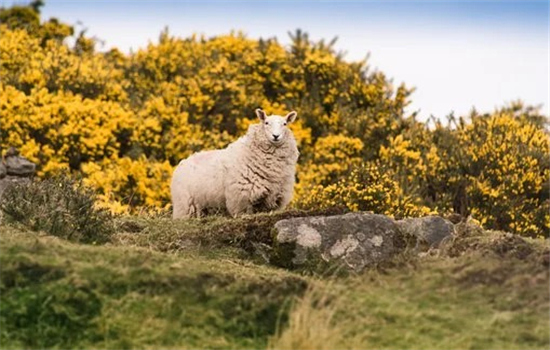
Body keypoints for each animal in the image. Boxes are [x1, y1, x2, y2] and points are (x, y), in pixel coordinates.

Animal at [172, 109, 302, 219]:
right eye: (266, 123)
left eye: (285, 124)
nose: (276, 136)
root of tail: (183, 162)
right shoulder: (240, 196)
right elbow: (242, 211)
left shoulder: (276, 195)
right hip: (184, 205)